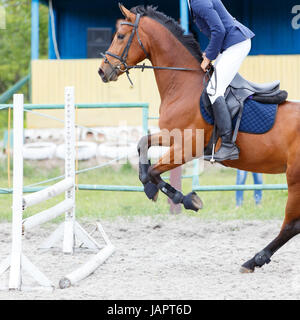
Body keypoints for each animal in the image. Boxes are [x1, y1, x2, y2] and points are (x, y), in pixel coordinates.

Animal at [99, 3, 300, 274]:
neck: (182, 85)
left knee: (291, 225)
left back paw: (254, 260)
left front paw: (187, 200)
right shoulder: (173, 137)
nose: (102, 71)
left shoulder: (186, 148)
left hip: (294, 179)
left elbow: (154, 171)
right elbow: (143, 145)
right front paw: (150, 189)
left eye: (120, 36)